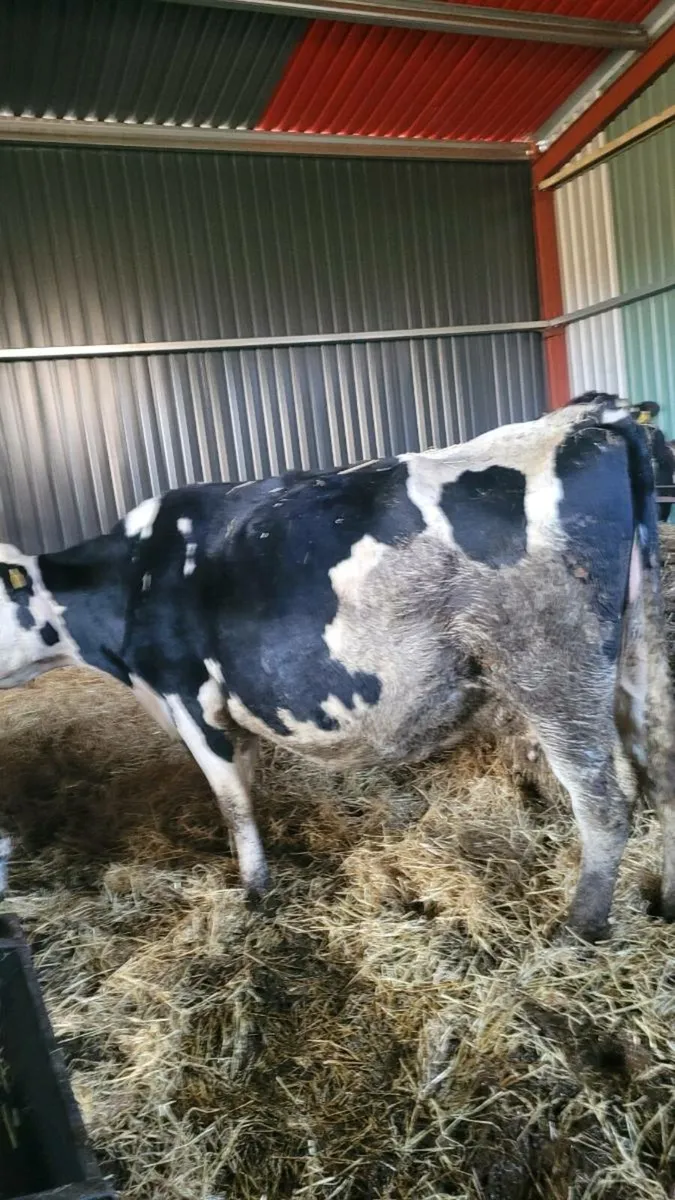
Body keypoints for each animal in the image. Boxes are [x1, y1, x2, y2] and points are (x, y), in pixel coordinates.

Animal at [0, 393, 674, 944]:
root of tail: (588, 419)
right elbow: (245, 793)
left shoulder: (188, 697)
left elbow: (231, 801)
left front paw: (255, 893)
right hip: (637, 657)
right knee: (662, 772)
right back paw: (664, 902)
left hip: (552, 671)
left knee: (605, 805)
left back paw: (578, 928)